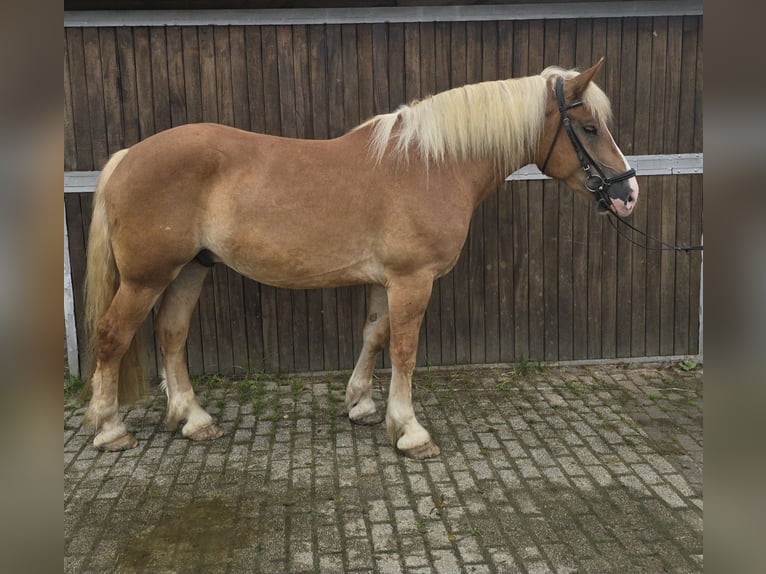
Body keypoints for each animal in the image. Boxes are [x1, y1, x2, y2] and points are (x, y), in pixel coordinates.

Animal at [81, 58, 640, 462]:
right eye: (589, 127)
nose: (628, 194)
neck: (430, 164)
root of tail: (127, 157)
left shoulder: (385, 281)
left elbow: (374, 335)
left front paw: (362, 405)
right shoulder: (413, 280)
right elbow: (405, 351)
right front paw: (409, 430)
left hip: (190, 269)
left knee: (171, 335)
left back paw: (193, 419)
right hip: (146, 277)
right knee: (112, 336)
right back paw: (109, 429)